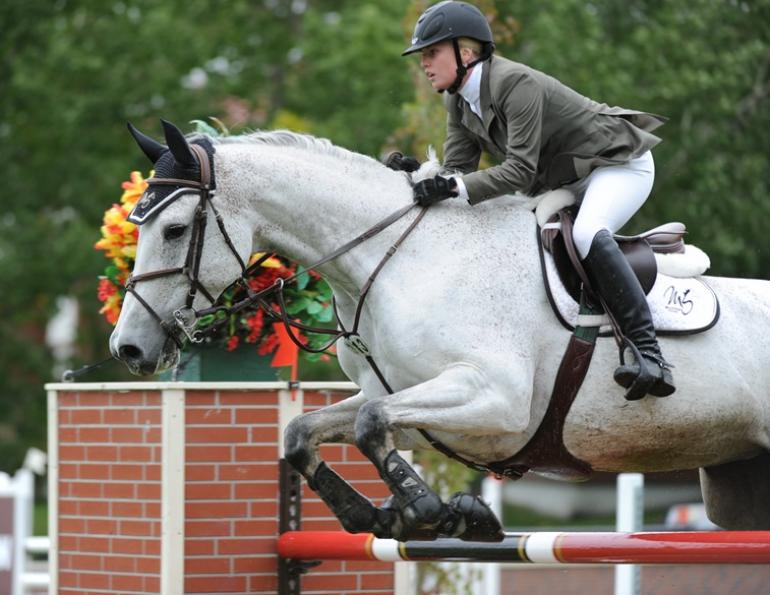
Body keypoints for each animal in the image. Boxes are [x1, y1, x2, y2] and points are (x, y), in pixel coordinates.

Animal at [111, 120, 770, 540]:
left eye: (173, 229)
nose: (128, 348)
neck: (402, 258)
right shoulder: (409, 401)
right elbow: (308, 432)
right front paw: (398, 516)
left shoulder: (498, 401)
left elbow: (370, 426)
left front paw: (430, 510)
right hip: (736, 482)